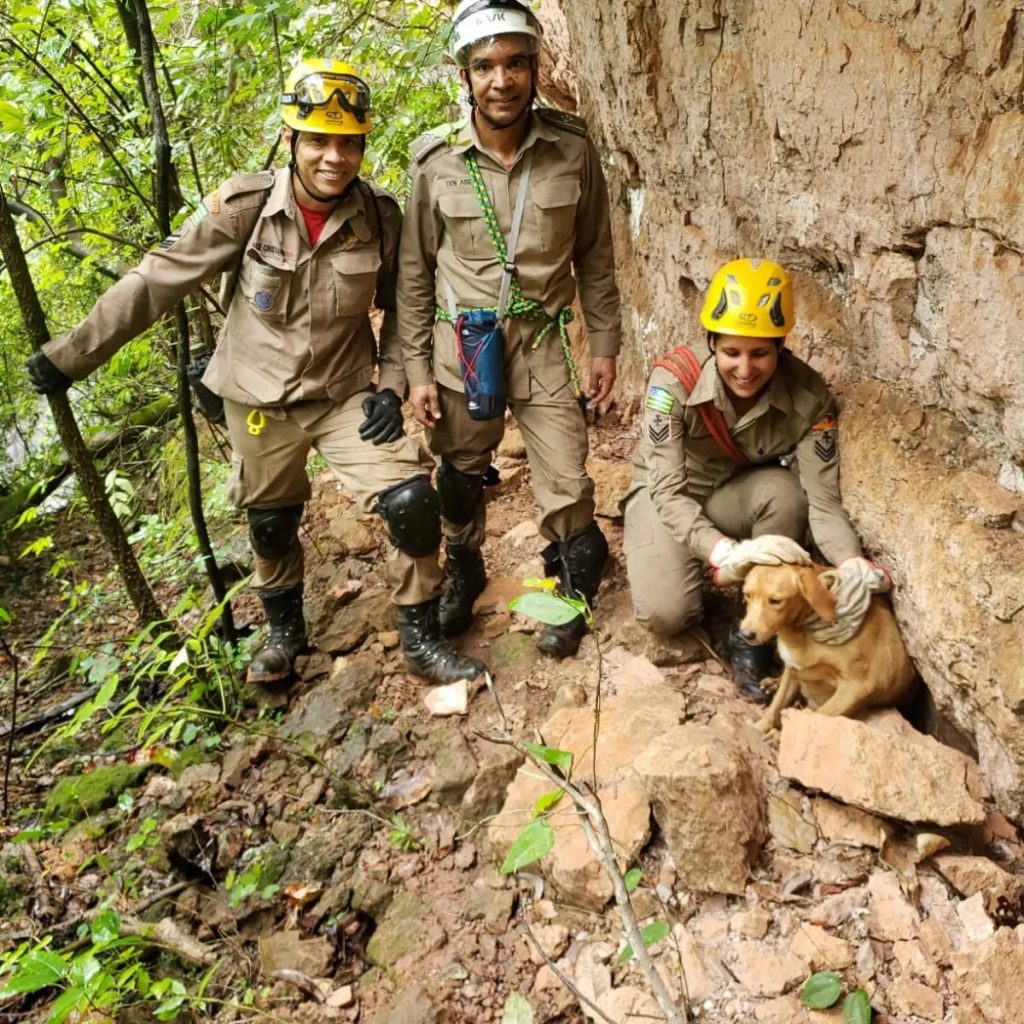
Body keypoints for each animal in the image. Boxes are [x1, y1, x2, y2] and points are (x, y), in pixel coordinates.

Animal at [741, 565, 917, 733]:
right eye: (747, 595)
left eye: (776, 600)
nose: (745, 634)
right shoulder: (793, 668)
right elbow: (775, 707)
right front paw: (759, 727)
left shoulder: (856, 687)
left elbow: (814, 717)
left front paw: (777, 734)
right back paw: (773, 683)